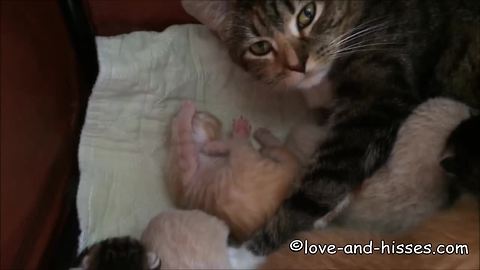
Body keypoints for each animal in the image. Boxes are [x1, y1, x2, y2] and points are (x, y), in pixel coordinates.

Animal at [167, 101, 298, 240]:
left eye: (200, 114)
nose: (175, 113)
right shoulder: (185, 162)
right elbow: (182, 131)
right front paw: (184, 112)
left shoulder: (184, 160)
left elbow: (181, 130)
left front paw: (184, 110)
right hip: (248, 158)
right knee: (257, 145)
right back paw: (249, 133)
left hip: (248, 157)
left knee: (245, 144)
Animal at [183, 0, 480, 254]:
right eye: (260, 47)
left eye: (307, 13)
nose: (298, 65)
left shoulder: (373, 106)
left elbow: (324, 180)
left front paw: (248, 252)